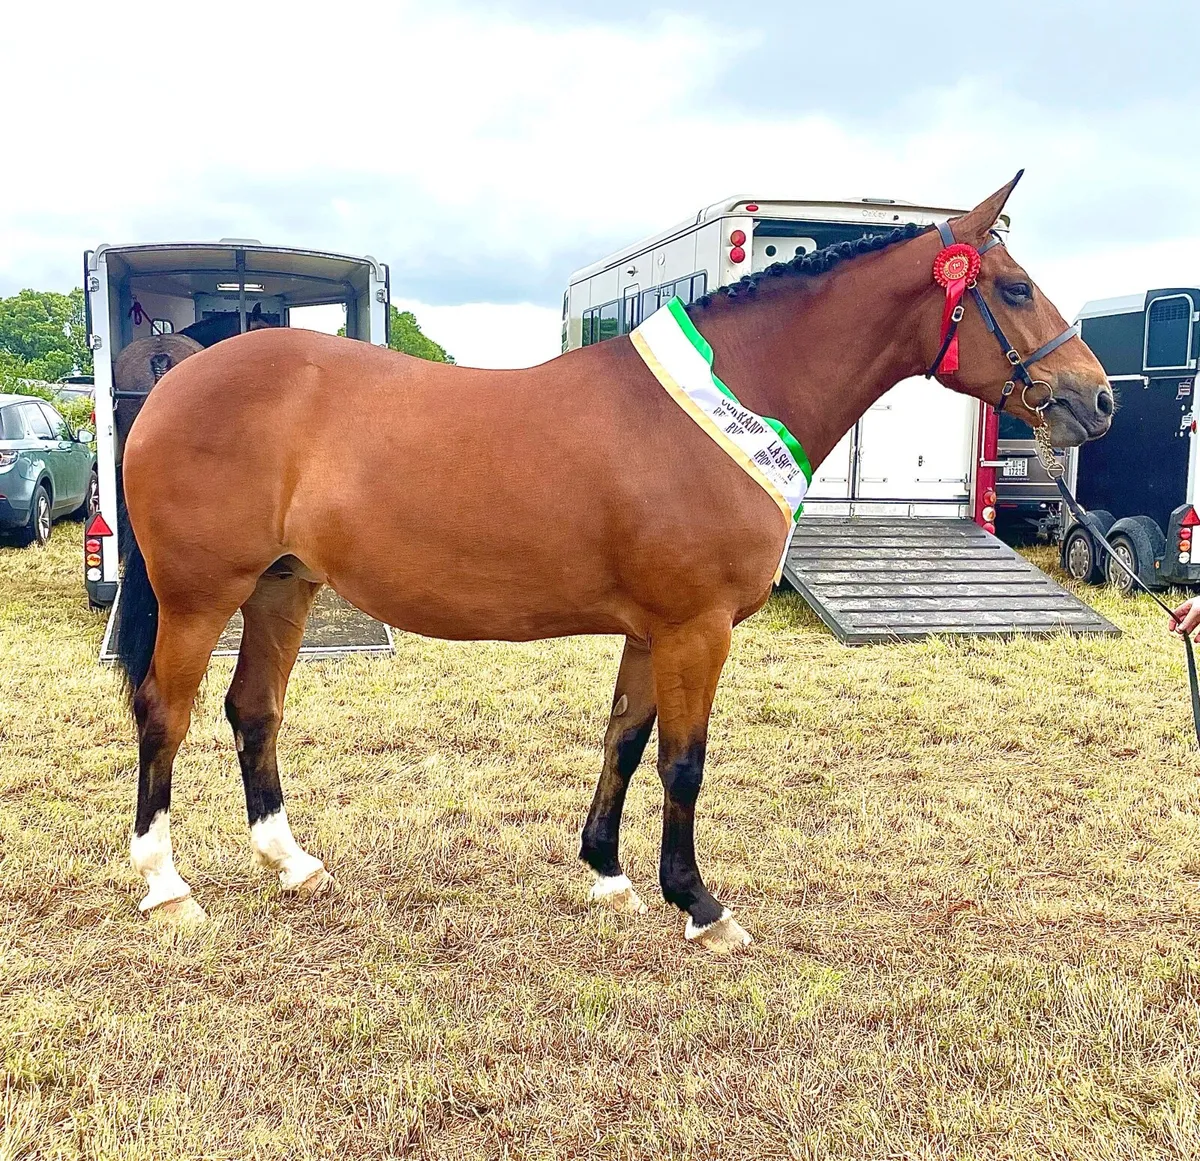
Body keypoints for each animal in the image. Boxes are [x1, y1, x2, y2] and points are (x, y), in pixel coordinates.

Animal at [114, 175, 1113, 951]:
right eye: (1014, 288)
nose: (1096, 400)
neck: (721, 403)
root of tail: (174, 381)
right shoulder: (696, 629)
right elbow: (684, 762)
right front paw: (701, 904)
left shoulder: (651, 629)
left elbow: (625, 740)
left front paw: (607, 873)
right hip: (201, 595)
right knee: (166, 714)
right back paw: (167, 886)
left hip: (283, 587)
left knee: (254, 710)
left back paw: (293, 864)